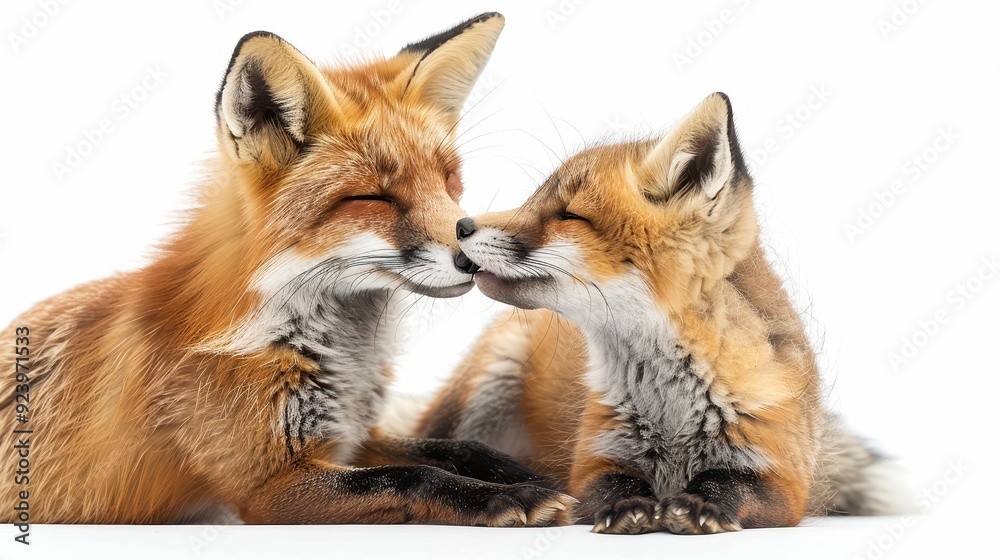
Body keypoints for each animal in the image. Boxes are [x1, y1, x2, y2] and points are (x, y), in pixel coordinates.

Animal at [0, 13, 577, 525]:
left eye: (449, 180)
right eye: (373, 197)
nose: (472, 258)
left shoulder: (352, 436)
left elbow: (460, 447)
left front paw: (540, 476)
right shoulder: (270, 485)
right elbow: (411, 477)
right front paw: (506, 498)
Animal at [417, 92, 905, 534]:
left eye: (568, 215)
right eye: (535, 200)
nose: (461, 225)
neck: (672, 410)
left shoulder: (783, 483)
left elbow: (729, 483)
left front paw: (699, 504)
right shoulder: (594, 462)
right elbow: (613, 485)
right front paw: (631, 506)